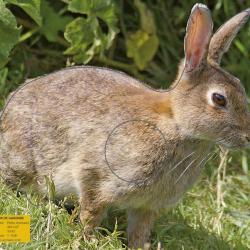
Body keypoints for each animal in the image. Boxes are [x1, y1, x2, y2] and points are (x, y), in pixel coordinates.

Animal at [0, 2, 250, 249]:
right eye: (219, 99)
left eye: (241, 88)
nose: (248, 137)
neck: (176, 124)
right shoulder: (95, 175)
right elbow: (91, 213)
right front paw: (89, 240)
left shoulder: (146, 206)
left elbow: (139, 230)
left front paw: (139, 246)